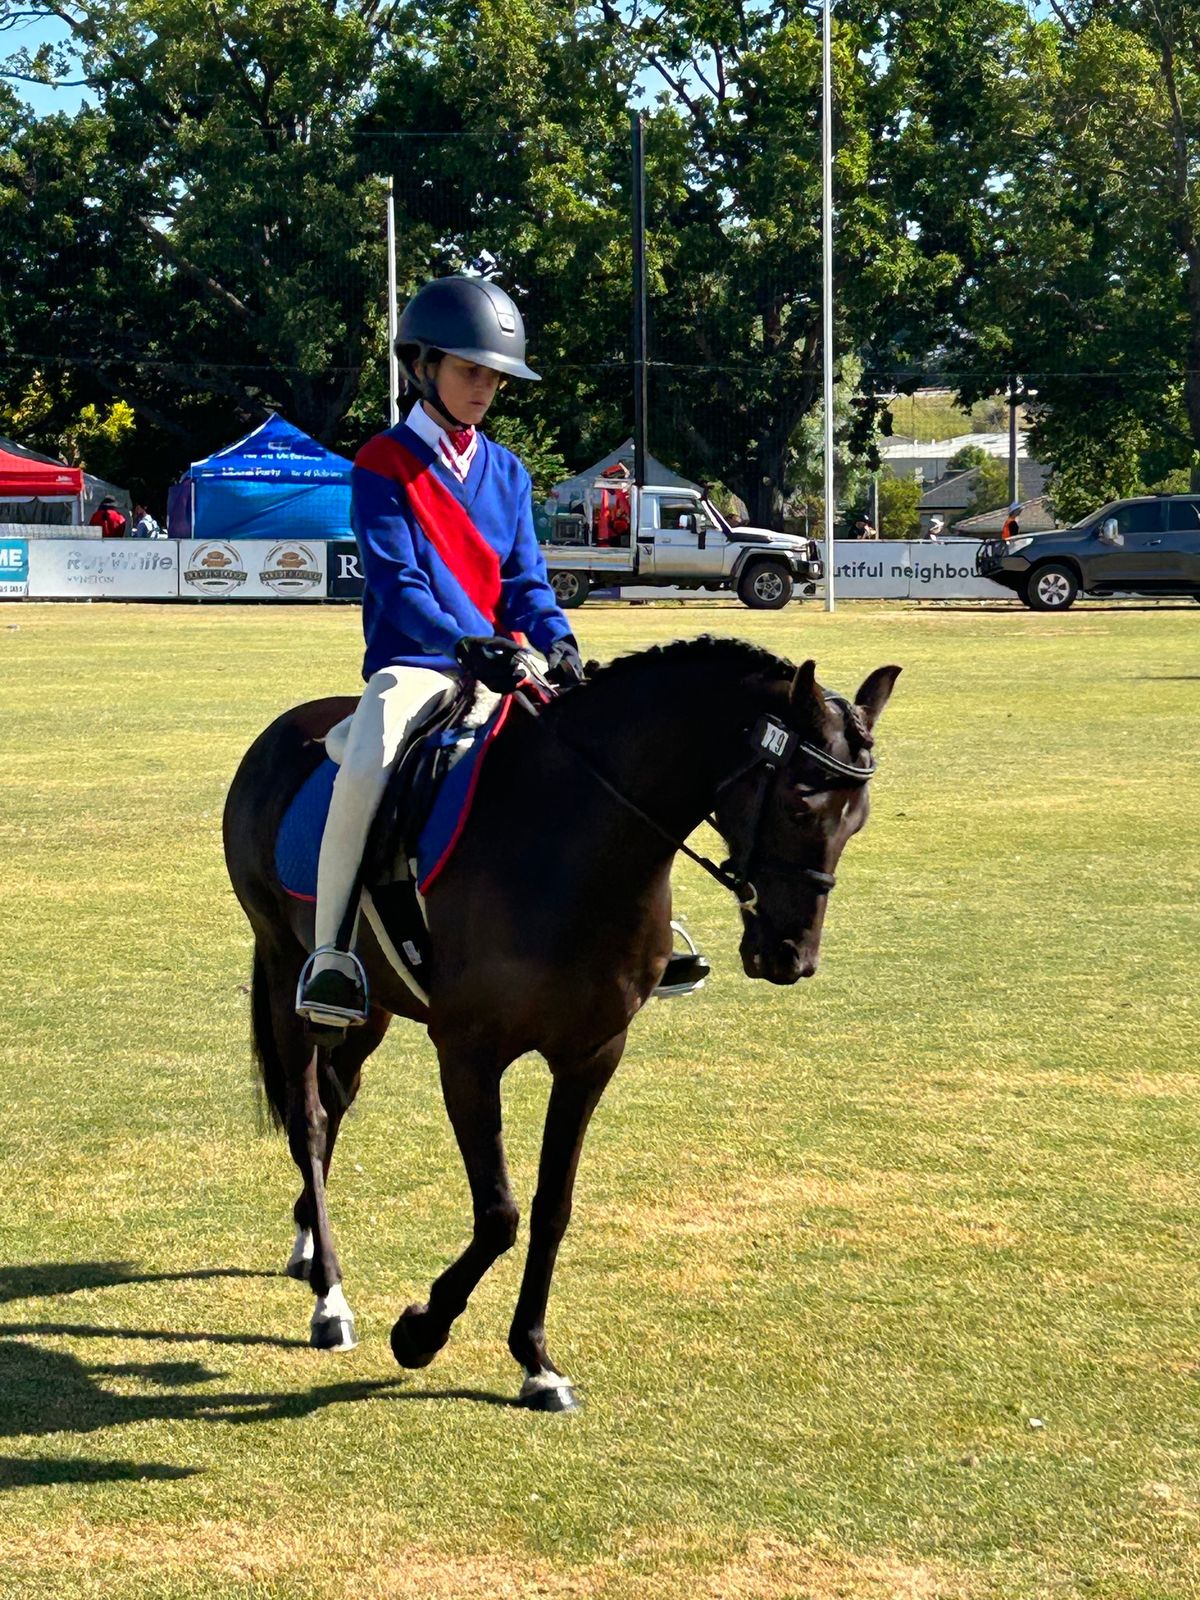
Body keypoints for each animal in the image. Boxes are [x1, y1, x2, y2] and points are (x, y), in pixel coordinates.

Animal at [225, 636, 902, 1414]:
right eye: (797, 803)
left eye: (858, 819)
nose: (791, 955)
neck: (573, 839)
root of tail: (288, 728)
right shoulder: (468, 1054)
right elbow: (499, 1212)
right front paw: (421, 1330)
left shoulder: (592, 1053)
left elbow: (552, 1206)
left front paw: (536, 1360)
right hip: (286, 970)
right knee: (307, 1118)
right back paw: (330, 1297)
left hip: (373, 1008)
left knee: (335, 1104)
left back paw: (311, 1242)